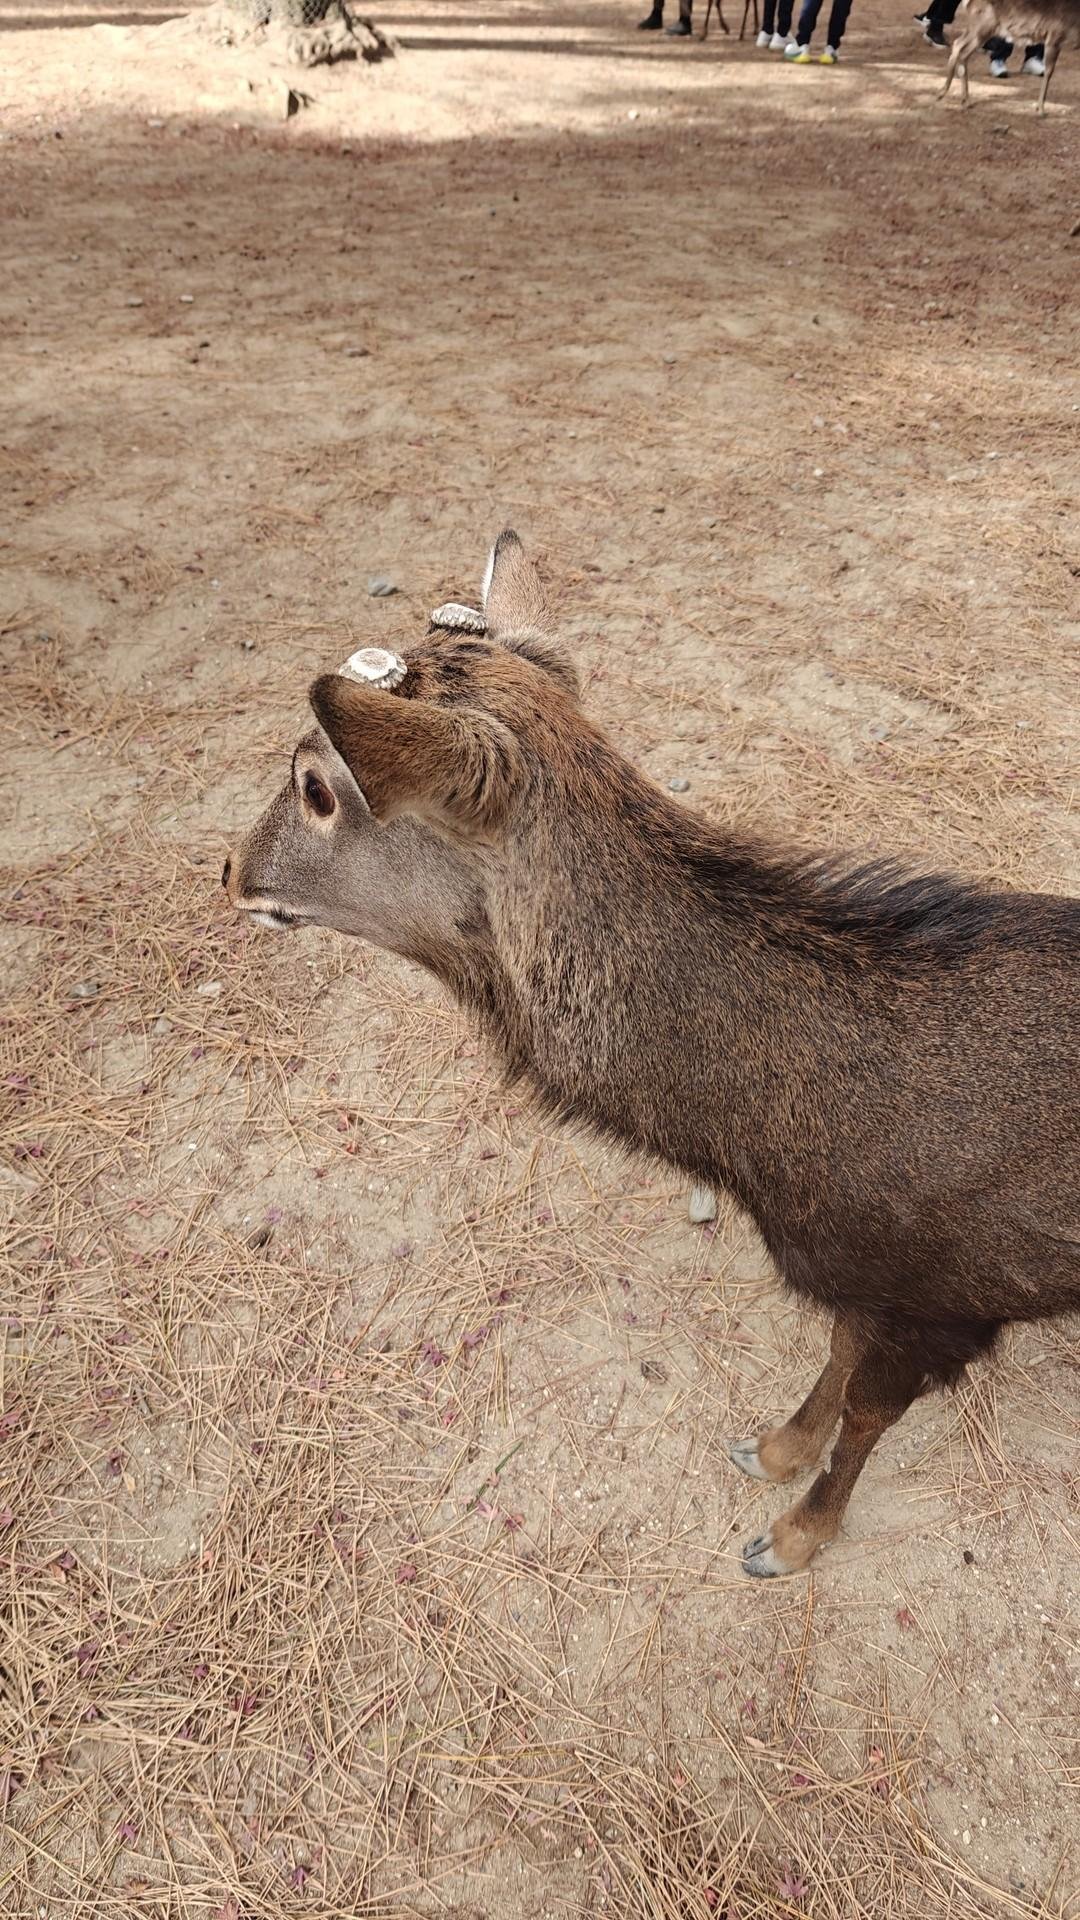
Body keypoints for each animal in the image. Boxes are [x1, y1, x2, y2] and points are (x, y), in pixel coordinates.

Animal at [224, 533, 1080, 1578]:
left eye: (315, 788)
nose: (229, 869)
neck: (772, 1157)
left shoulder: (949, 1295)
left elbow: (869, 1412)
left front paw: (791, 1538)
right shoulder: (868, 1279)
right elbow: (836, 1357)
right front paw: (773, 1447)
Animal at [939, 0, 1080, 110]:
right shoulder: (1054, 35)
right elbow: (1049, 72)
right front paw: (1040, 108)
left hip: (980, 27)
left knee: (959, 47)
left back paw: (960, 98)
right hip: (983, 24)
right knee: (960, 47)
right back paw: (949, 94)